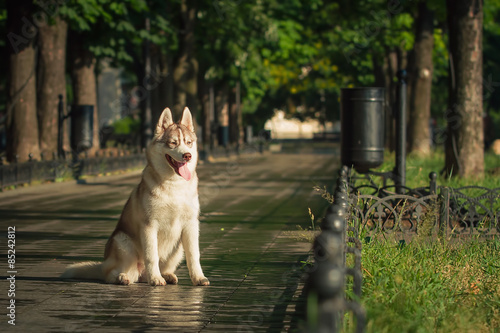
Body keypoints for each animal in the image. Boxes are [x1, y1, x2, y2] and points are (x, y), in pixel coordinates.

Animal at [61, 107, 209, 286]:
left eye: (188, 142)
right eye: (173, 143)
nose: (187, 155)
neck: (174, 186)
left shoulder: (191, 224)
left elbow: (194, 255)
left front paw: (199, 278)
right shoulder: (149, 225)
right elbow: (151, 256)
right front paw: (155, 278)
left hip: (178, 248)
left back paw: (166, 275)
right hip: (123, 242)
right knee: (111, 274)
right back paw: (123, 277)